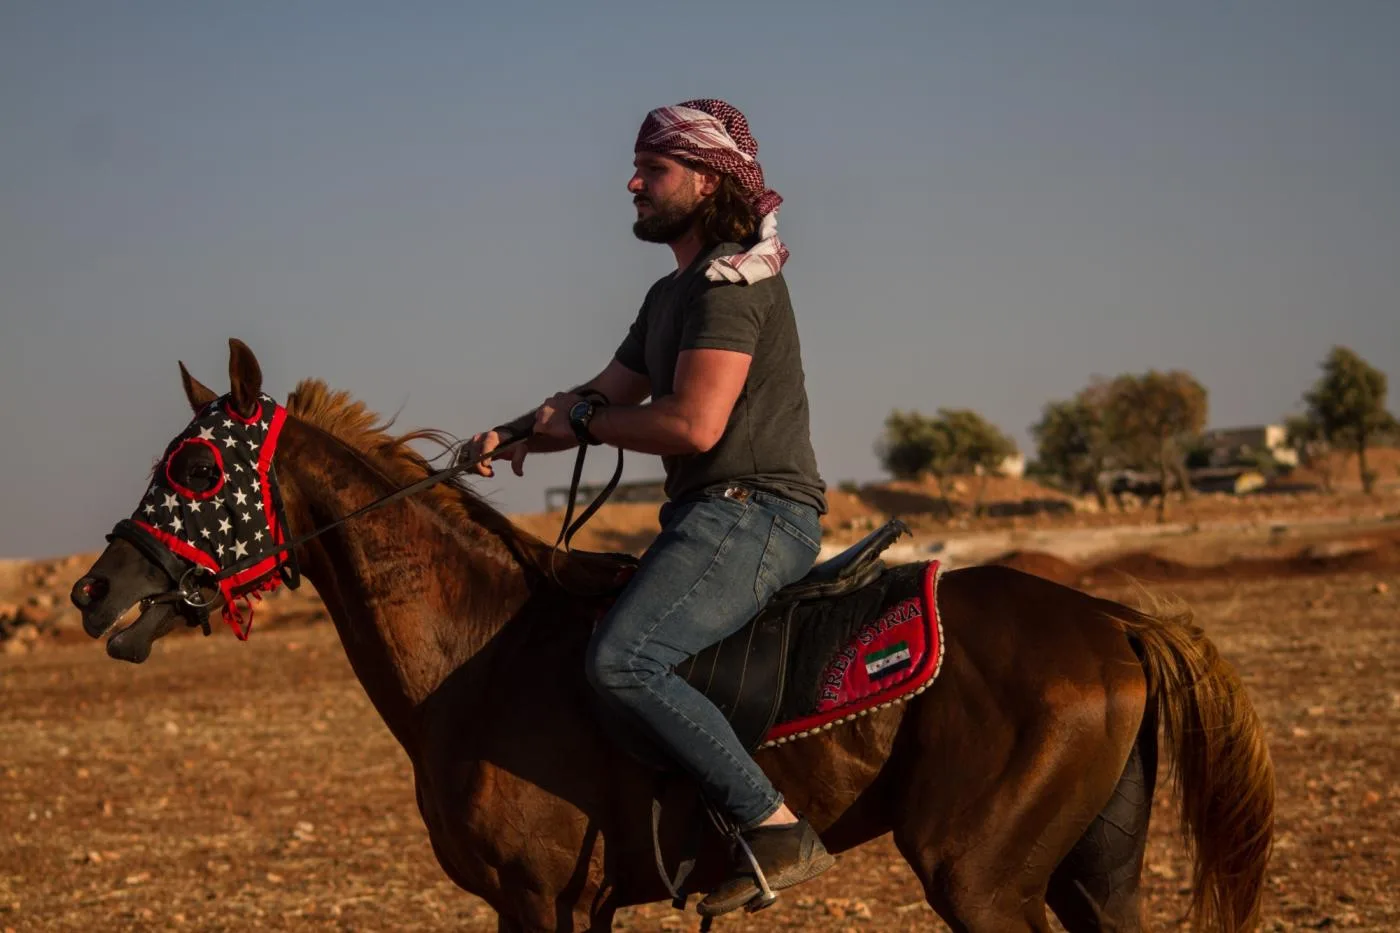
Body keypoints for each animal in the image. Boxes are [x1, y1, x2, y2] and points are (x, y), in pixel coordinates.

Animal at [68, 337, 1282, 924]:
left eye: (195, 466)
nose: (92, 590)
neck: (480, 656)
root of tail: (1111, 619)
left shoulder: (540, 902)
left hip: (981, 877)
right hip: (1093, 876)